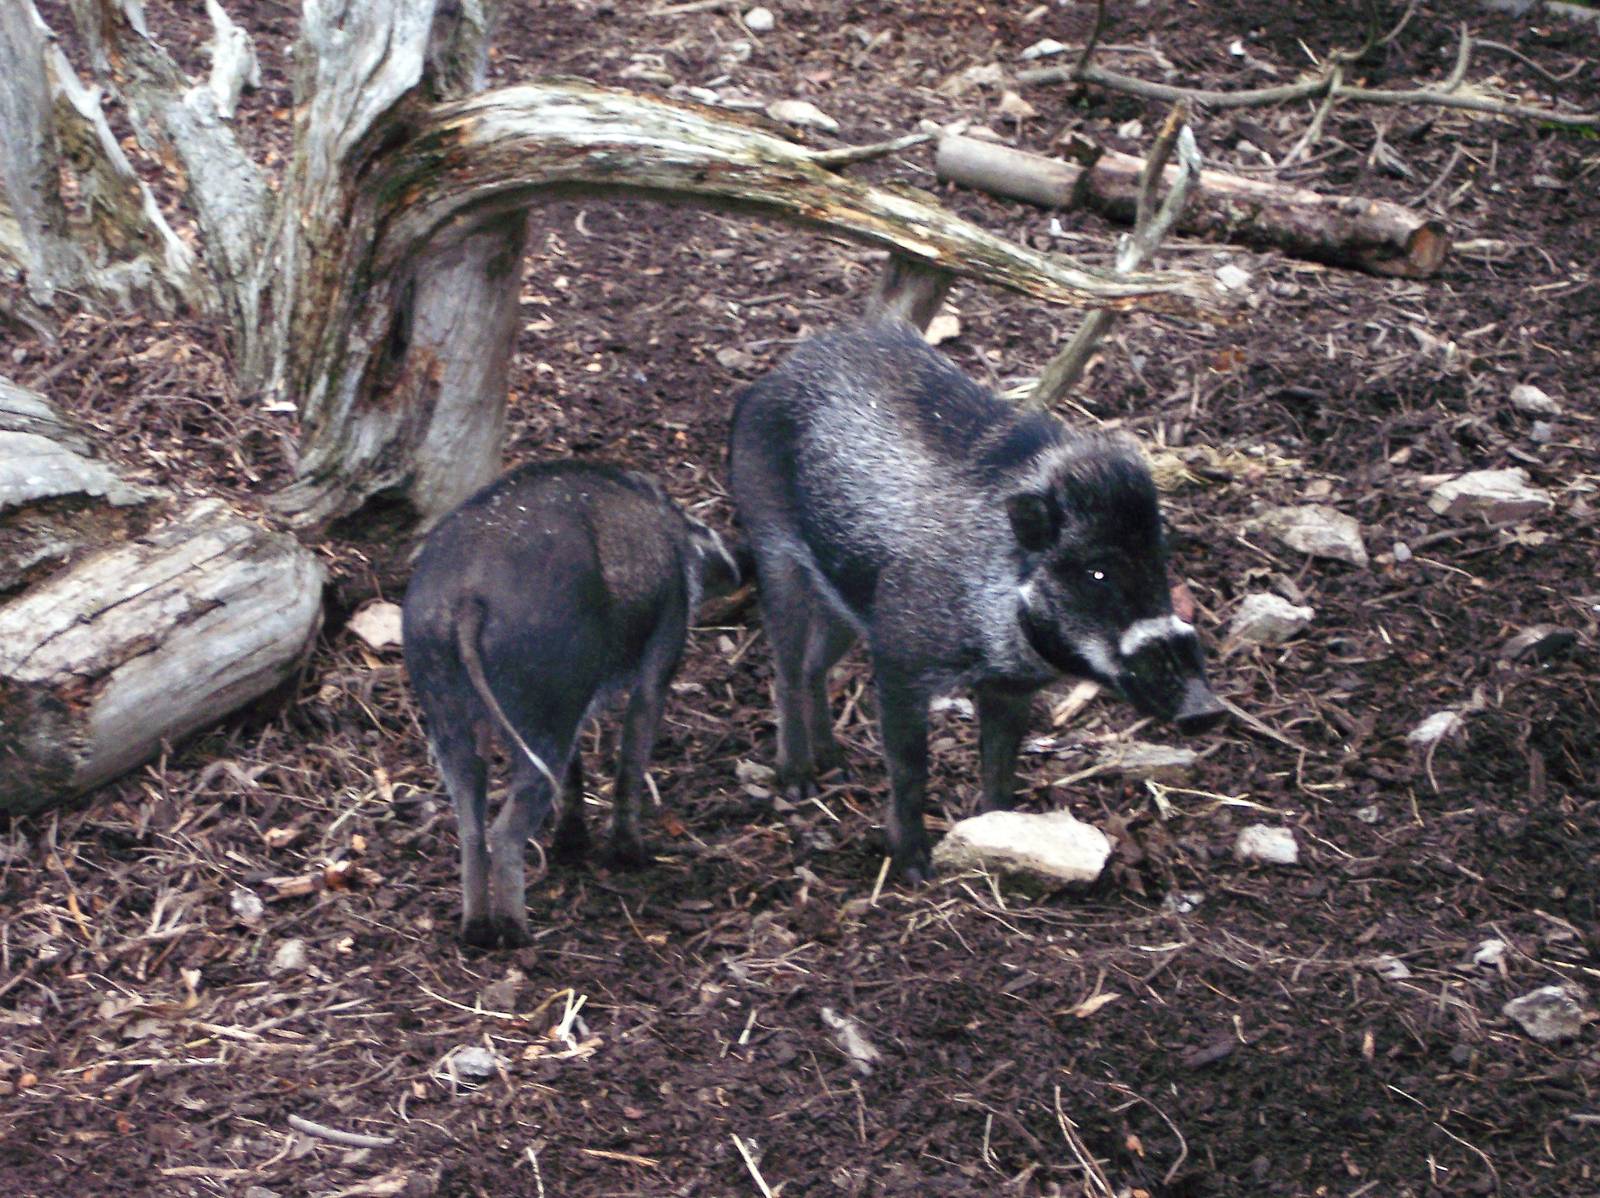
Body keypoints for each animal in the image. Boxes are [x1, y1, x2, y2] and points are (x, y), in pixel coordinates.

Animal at [402, 460, 742, 948]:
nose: (738, 563)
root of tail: (468, 599)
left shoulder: (570, 710)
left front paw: (572, 847)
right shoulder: (663, 648)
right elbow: (632, 754)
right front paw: (629, 856)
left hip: (449, 712)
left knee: (470, 825)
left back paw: (478, 932)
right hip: (537, 717)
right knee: (505, 832)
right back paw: (519, 935)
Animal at [728, 318, 1224, 881]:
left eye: (1161, 560)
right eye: (1097, 571)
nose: (1206, 707)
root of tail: (770, 381)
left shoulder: (1008, 688)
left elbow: (1001, 767)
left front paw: (998, 836)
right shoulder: (899, 659)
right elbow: (910, 768)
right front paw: (914, 867)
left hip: (844, 606)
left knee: (815, 666)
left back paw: (839, 765)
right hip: (774, 552)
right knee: (787, 671)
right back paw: (799, 782)